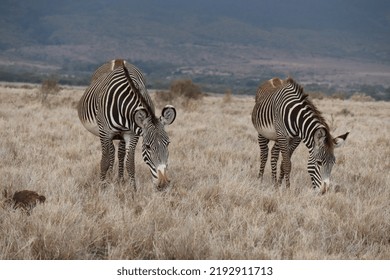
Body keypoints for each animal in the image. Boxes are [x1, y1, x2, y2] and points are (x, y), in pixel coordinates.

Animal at [77, 59, 176, 190]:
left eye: (168, 143)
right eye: (148, 146)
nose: (163, 183)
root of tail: (118, 60)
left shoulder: (132, 133)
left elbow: (130, 163)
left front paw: (133, 189)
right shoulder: (105, 132)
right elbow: (104, 161)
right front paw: (102, 187)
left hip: (121, 135)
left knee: (119, 153)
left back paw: (119, 179)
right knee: (111, 153)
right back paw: (109, 177)